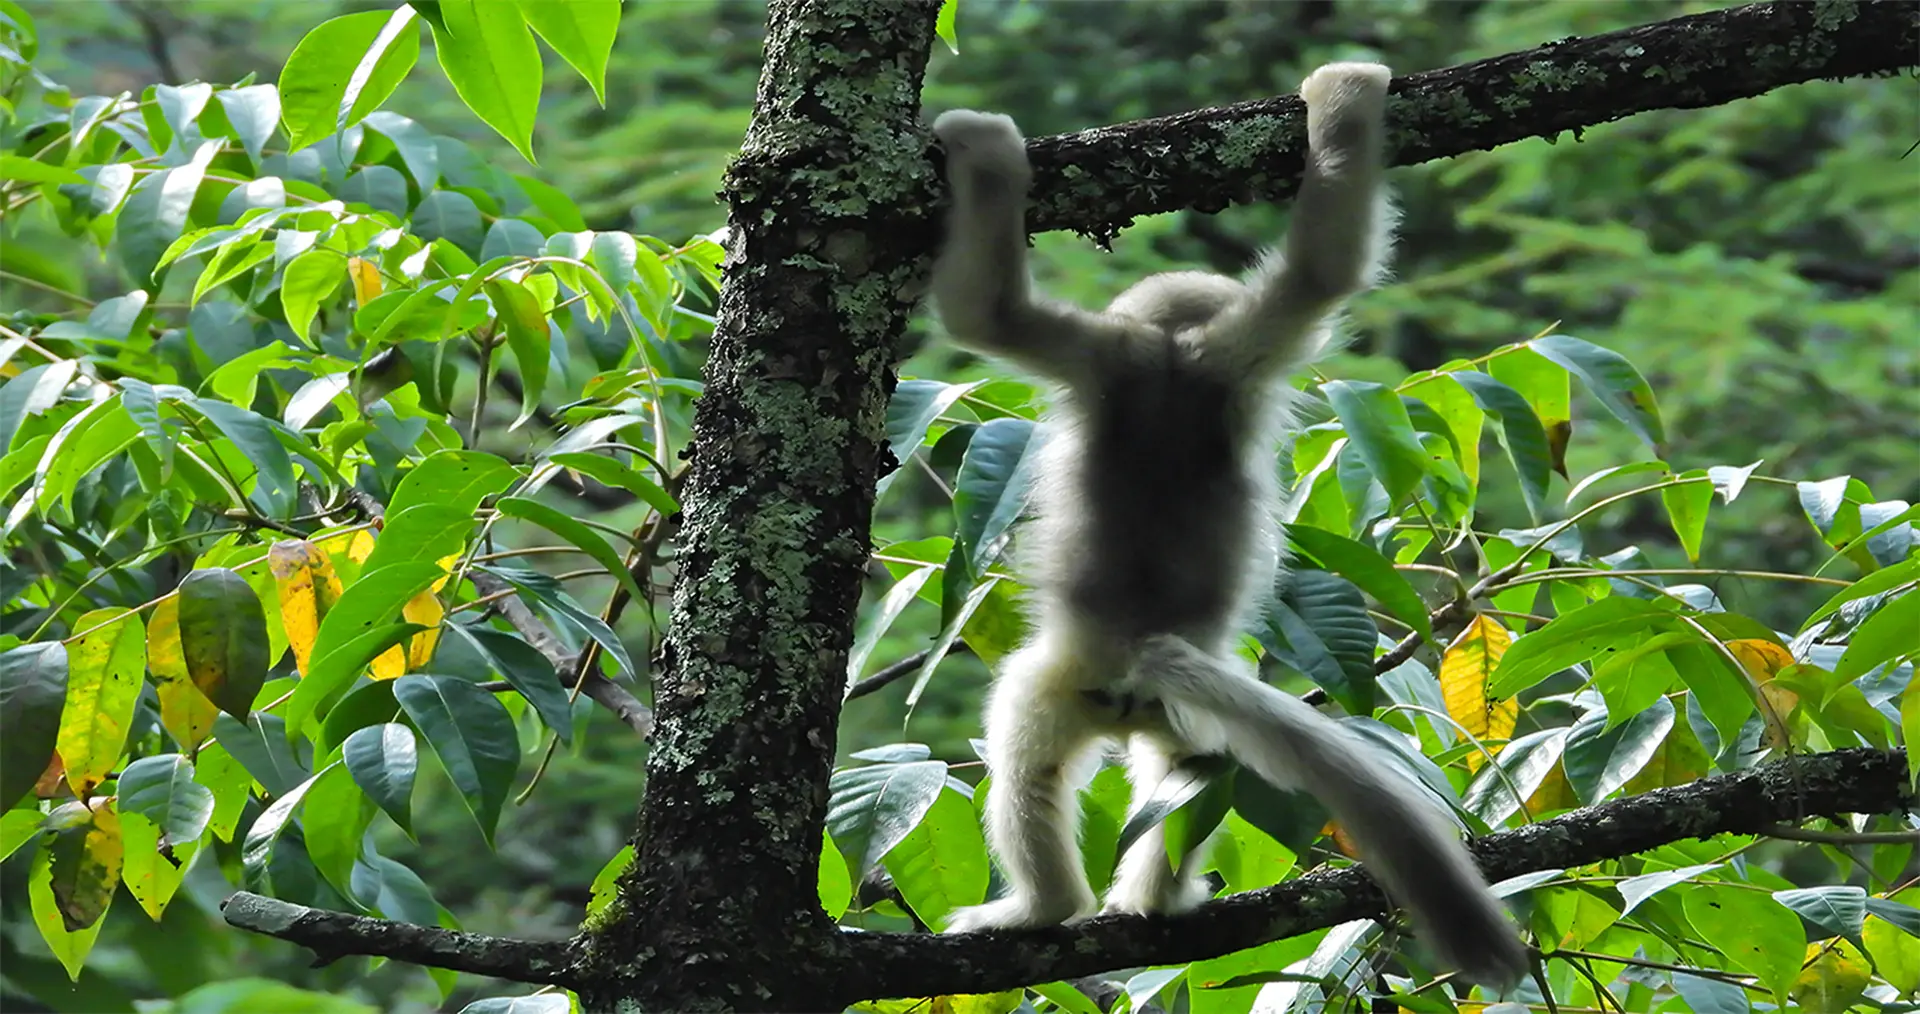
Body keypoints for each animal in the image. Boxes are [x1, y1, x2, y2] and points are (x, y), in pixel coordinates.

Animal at [924, 63, 1529, 989]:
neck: (1178, 359)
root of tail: (1144, 650)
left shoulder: (1104, 355)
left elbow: (987, 315)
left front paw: (982, 148)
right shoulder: (1240, 350)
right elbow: (1320, 271)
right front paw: (1348, 101)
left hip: (1055, 684)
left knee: (1029, 762)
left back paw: (1041, 907)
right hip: (1180, 720)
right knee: (1194, 777)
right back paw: (1155, 899)